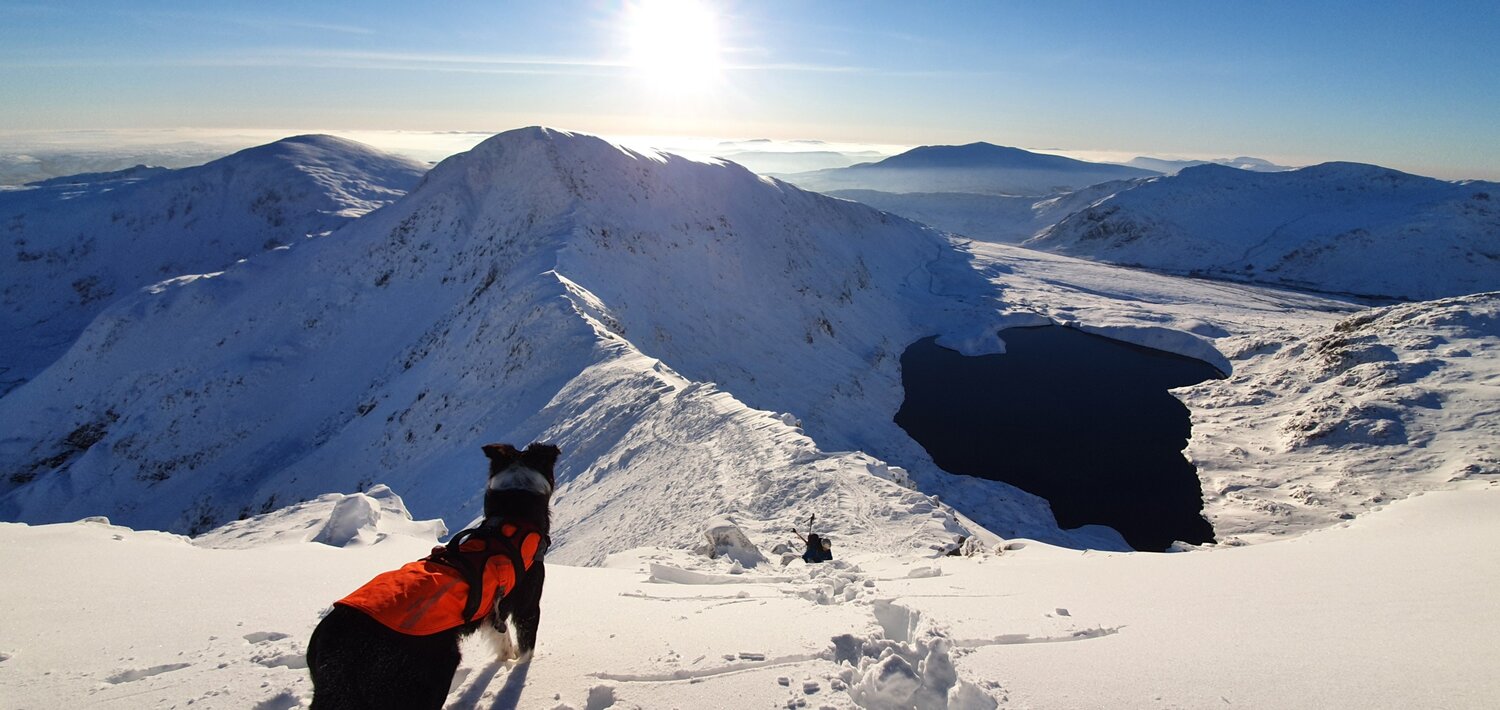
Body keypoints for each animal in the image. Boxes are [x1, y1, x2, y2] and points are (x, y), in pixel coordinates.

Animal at [307, 441, 561, 705]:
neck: (514, 513)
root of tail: (339, 653)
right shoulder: (528, 606)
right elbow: (526, 649)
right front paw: (519, 672)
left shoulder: (494, 612)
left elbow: (504, 642)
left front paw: (505, 663)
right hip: (432, 675)